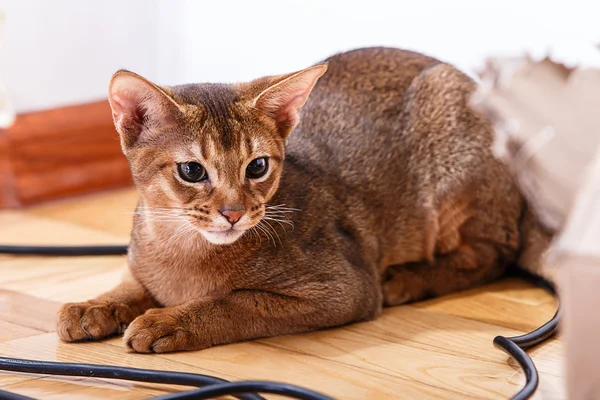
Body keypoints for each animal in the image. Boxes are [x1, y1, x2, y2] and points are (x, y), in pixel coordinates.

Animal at [56, 47, 552, 354]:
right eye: (192, 171)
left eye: (257, 166)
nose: (234, 213)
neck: (182, 250)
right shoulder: (143, 264)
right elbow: (131, 284)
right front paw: (92, 306)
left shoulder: (343, 288)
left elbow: (236, 300)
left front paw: (168, 322)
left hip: (451, 136)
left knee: (492, 255)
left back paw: (407, 279)